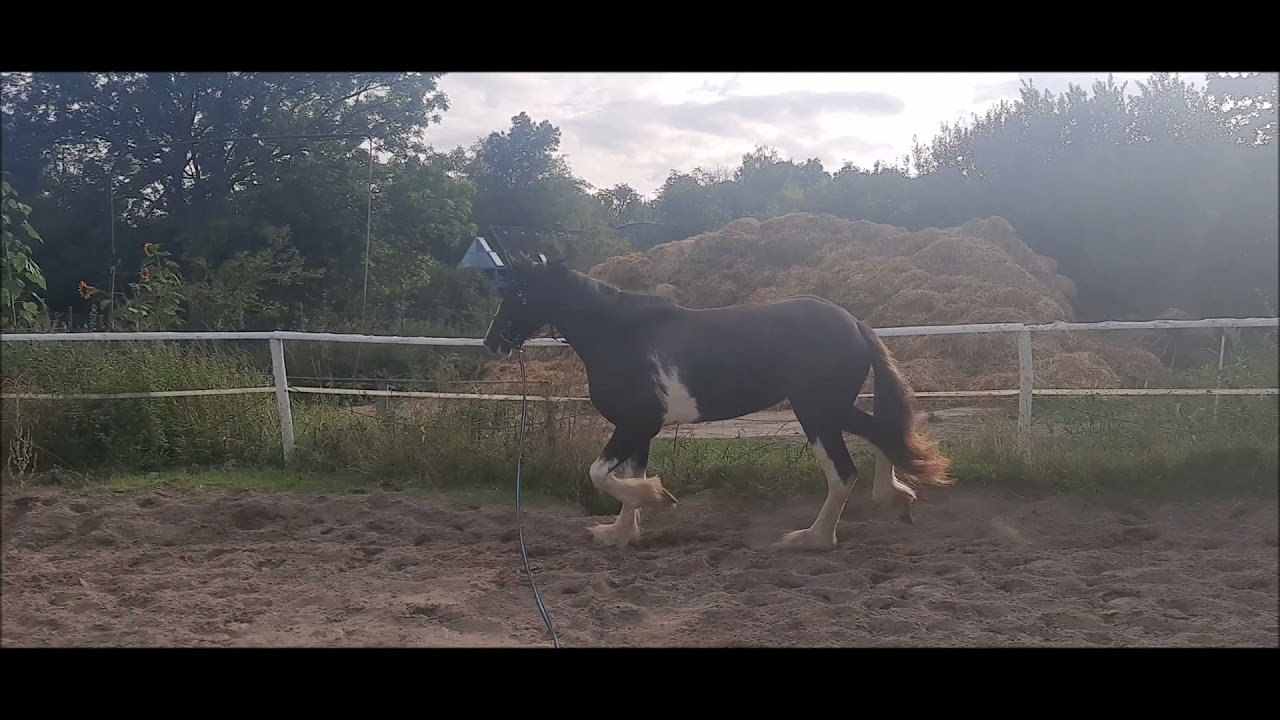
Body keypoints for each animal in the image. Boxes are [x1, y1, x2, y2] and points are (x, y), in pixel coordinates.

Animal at [481, 254, 952, 552]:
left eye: (520, 294)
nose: (492, 343)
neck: (621, 337)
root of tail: (853, 323)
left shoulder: (634, 426)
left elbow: (602, 475)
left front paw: (657, 497)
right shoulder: (640, 429)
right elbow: (628, 479)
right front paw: (620, 534)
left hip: (817, 411)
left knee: (843, 473)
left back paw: (810, 540)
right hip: (830, 407)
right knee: (882, 435)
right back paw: (895, 500)